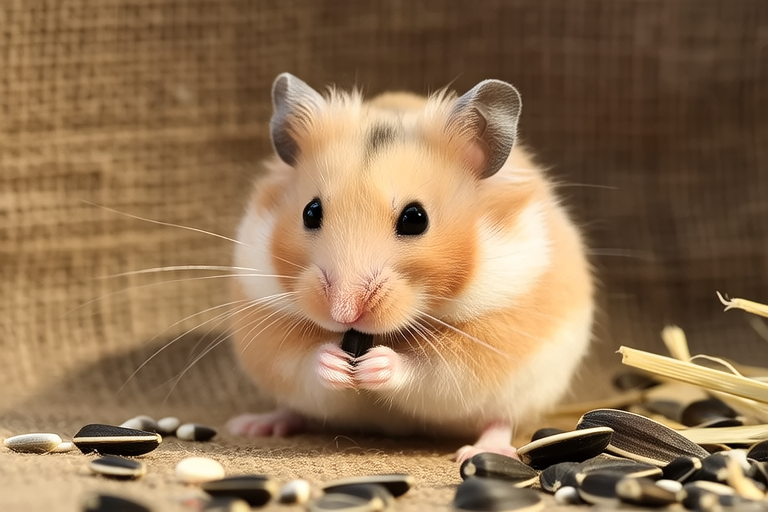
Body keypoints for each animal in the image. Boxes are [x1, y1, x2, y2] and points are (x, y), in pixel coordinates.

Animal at [226, 73, 594, 461]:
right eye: (310, 212)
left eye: (415, 219)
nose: (343, 313)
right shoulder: (272, 332)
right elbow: (305, 361)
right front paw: (334, 360)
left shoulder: (485, 341)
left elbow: (429, 371)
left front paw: (378, 364)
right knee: (294, 409)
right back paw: (253, 425)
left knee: (500, 419)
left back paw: (479, 452)